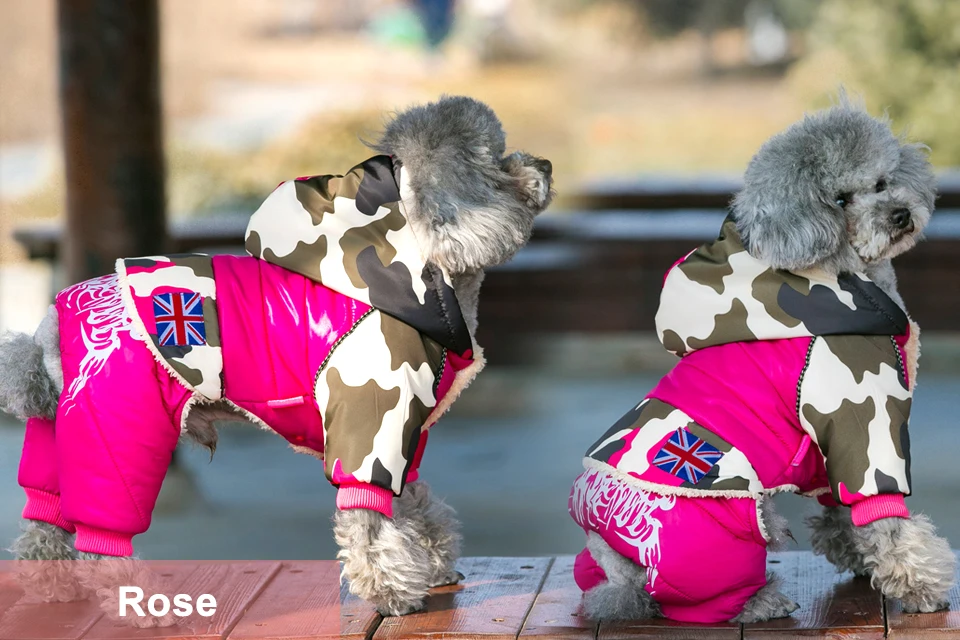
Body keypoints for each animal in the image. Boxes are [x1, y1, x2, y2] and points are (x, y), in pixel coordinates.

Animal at [0, 96, 556, 624]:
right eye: (499, 159)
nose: (547, 163)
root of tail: (48, 330)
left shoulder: (404, 435)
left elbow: (415, 504)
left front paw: (435, 564)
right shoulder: (367, 427)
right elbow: (371, 523)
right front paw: (392, 594)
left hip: (61, 435)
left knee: (44, 519)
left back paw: (52, 585)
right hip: (117, 432)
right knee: (101, 542)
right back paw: (141, 606)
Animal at [568, 96, 952, 624]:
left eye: (881, 181)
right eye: (839, 201)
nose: (899, 214)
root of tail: (617, 559)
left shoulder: (827, 450)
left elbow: (842, 507)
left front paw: (857, 556)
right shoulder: (864, 425)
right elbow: (882, 515)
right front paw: (921, 588)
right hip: (730, 534)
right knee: (699, 606)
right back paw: (763, 601)